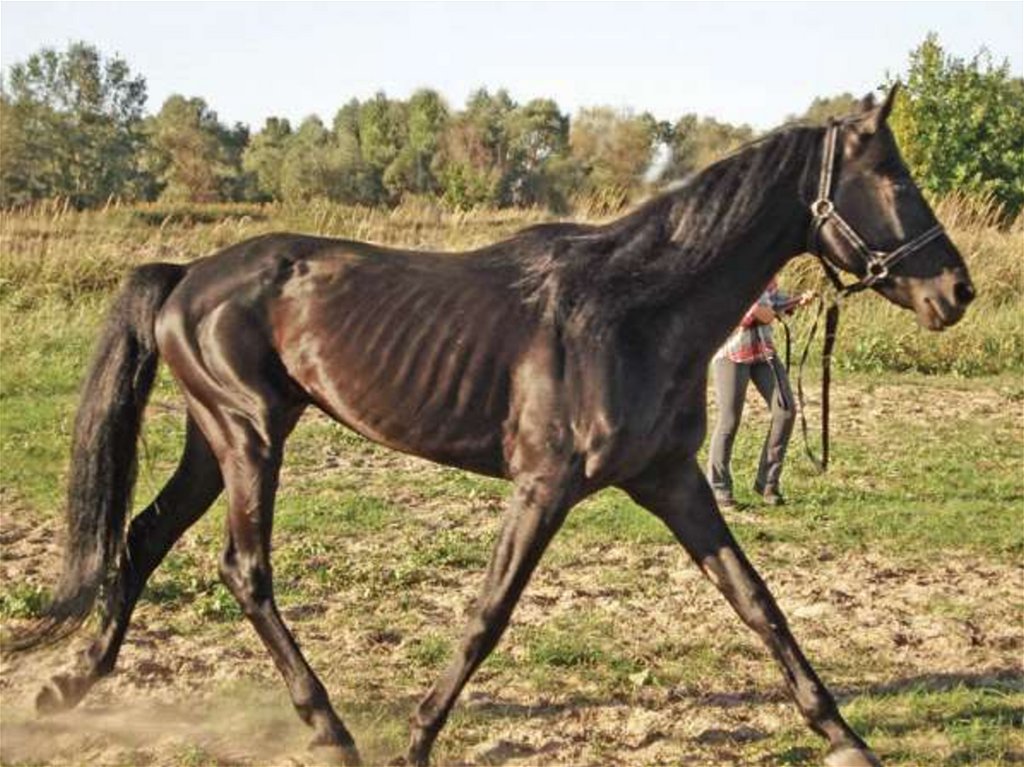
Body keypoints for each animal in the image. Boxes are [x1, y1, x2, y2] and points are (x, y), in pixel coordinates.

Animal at [8, 87, 974, 767]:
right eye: (892, 178)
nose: (956, 289)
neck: (632, 309)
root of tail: (186, 276)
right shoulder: (545, 485)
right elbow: (488, 612)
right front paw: (417, 736)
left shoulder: (673, 480)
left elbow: (759, 603)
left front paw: (845, 735)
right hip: (248, 437)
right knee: (244, 571)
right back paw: (329, 726)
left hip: (215, 441)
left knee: (140, 537)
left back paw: (69, 685)